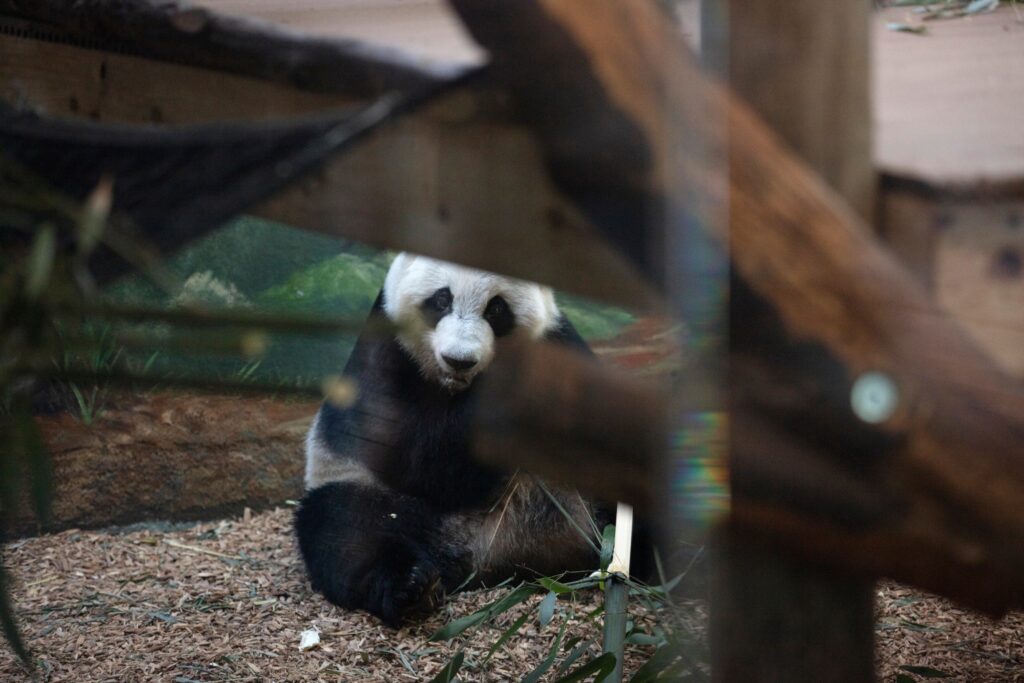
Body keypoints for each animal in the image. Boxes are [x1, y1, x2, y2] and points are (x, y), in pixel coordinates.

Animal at [295, 252, 608, 626]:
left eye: (496, 308)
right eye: (442, 299)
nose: (459, 360)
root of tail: (485, 557)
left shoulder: (558, 342)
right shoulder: (385, 353)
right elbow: (419, 459)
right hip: (366, 492)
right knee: (349, 531)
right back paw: (411, 587)